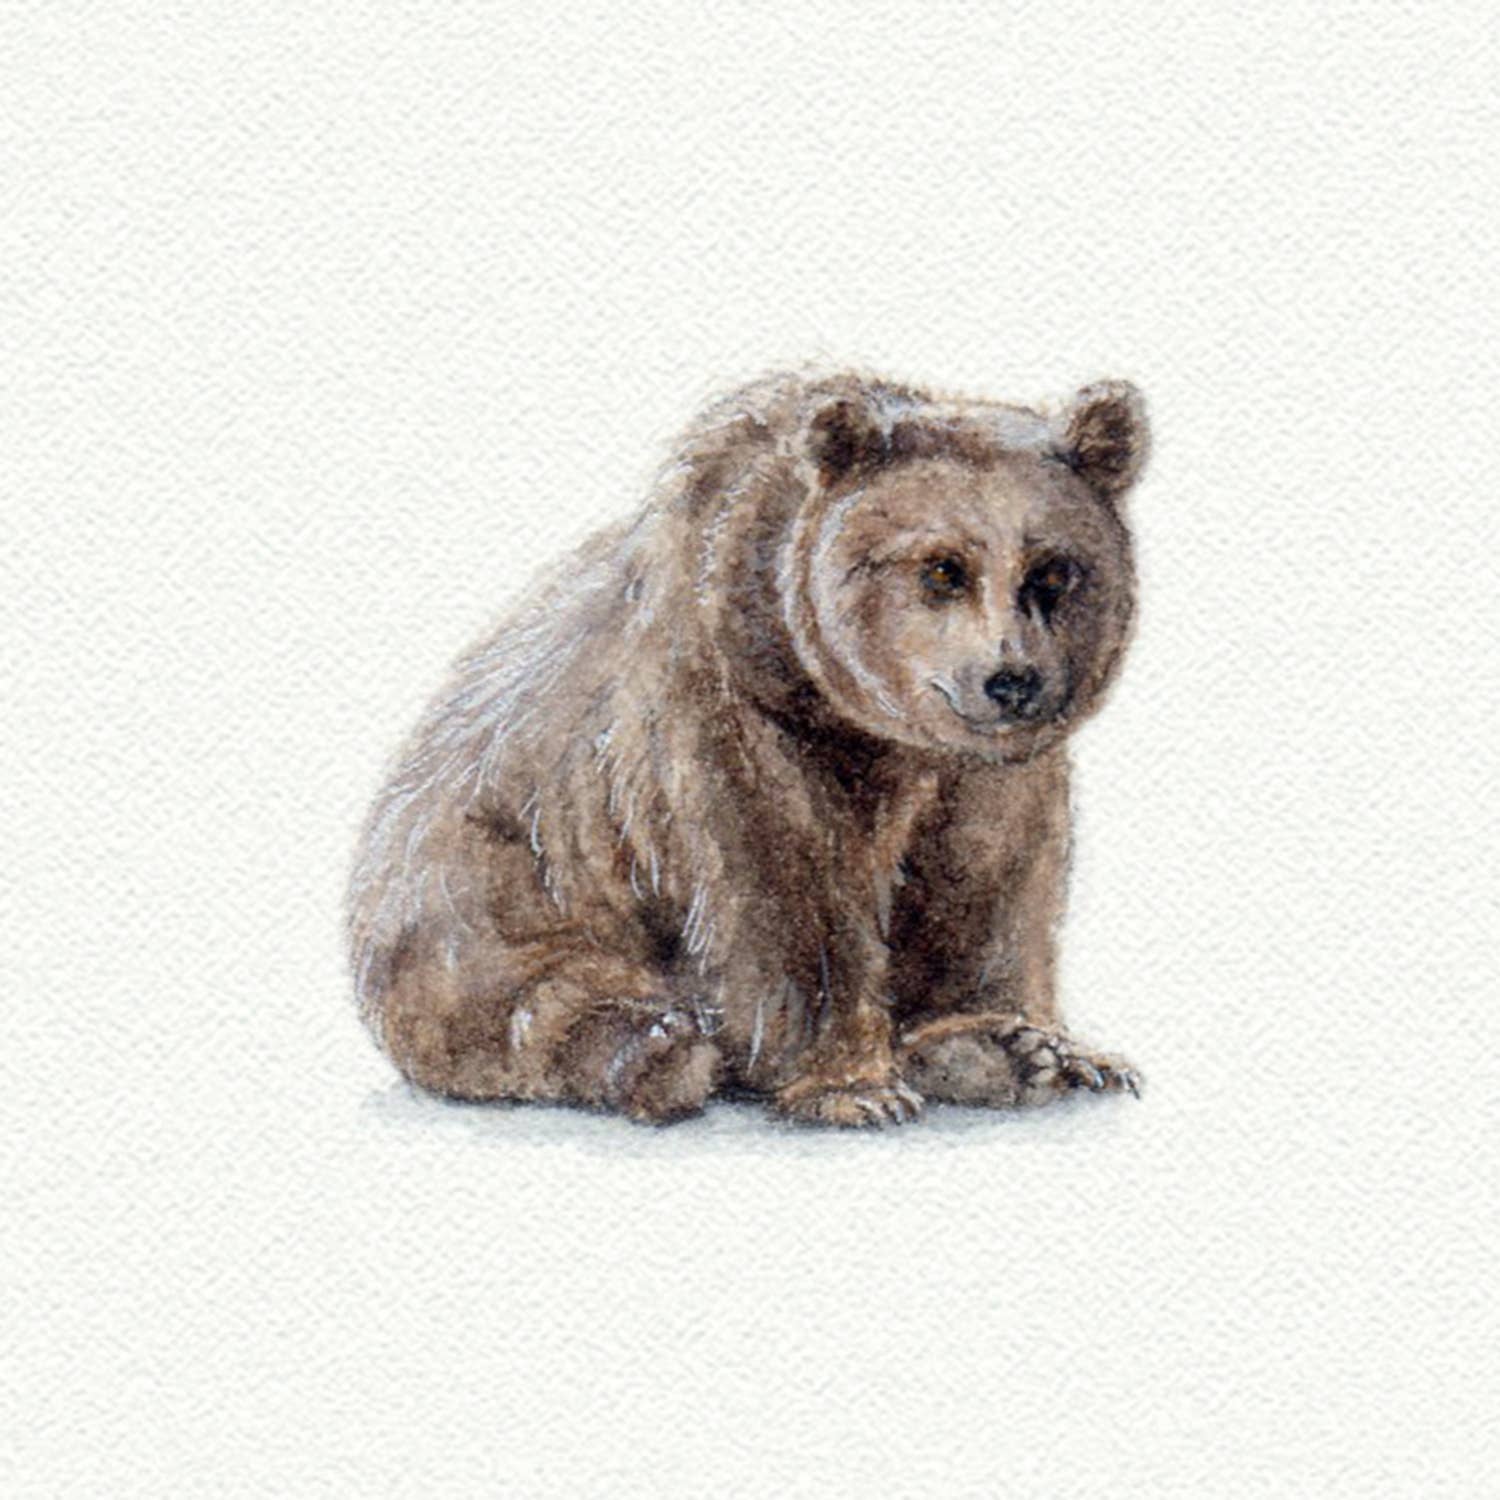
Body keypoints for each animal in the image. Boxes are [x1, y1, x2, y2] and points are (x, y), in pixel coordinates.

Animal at [347, 368, 1149, 1127]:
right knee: (538, 1004)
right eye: (943, 567)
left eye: (1053, 570)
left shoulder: (982, 775)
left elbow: (986, 875)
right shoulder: (733, 709)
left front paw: (1023, 1045)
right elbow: (786, 887)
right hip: (480, 903)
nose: (1011, 679)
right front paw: (852, 1088)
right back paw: (658, 1048)